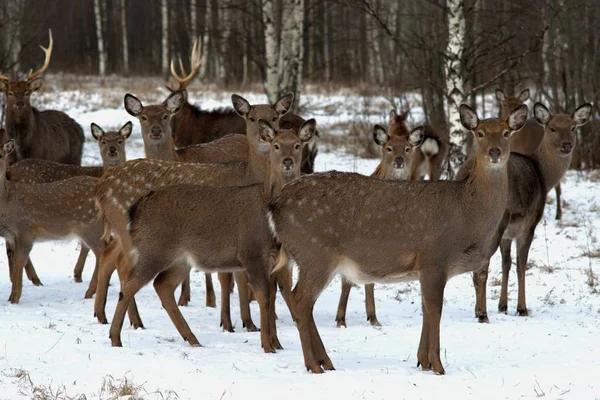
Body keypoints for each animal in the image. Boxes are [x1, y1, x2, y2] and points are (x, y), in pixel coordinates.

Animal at [0, 30, 84, 166]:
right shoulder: (8, 161)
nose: (19, 104)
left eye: (27, 92)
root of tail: (80, 129)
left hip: (75, 158)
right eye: (10, 93)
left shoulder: (40, 157)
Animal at [93, 93, 296, 332]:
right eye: (252, 118)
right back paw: (134, 320)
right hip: (130, 230)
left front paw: (246, 321)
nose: (265, 137)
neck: (248, 176)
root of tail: (101, 186)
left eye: (275, 117)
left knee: (109, 257)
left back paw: (102, 314)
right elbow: (230, 276)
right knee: (124, 267)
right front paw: (234, 323)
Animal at [332, 123, 422, 326]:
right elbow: (348, 281)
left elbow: (370, 279)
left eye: (407, 148)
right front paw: (340, 320)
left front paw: (373, 318)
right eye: (388, 148)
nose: (399, 160)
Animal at [464, 101, 592, 320]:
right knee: (481, 265)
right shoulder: (528, 226)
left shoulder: (508, 234)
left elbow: (506, 263)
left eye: (573, 127)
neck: (543, 176)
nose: (567, 145)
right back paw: (482, 313)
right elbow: (521, 265)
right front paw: (521, 308)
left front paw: (503, 305)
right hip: (494, 223)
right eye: (552, 128)